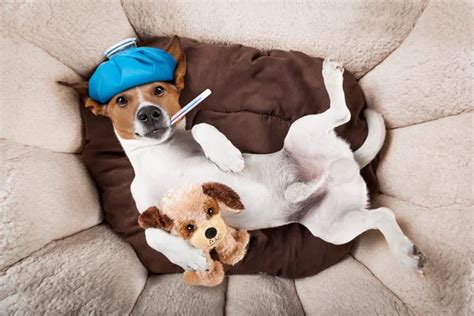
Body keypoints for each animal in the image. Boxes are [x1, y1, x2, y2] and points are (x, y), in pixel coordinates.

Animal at [60, 35, 426, 274]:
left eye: (159, 90)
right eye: (121, 101)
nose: (149, 114)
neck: (160, 153)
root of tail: (347, 164)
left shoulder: (195, 134)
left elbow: (202, 125)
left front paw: (228, 157)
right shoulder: (151, 214)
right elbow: (150, 235)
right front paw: (189, 258)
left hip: (301, 134)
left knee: (343, 114)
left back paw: (330, 77)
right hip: (333, 225)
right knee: (382, 215)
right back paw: (405, 253)